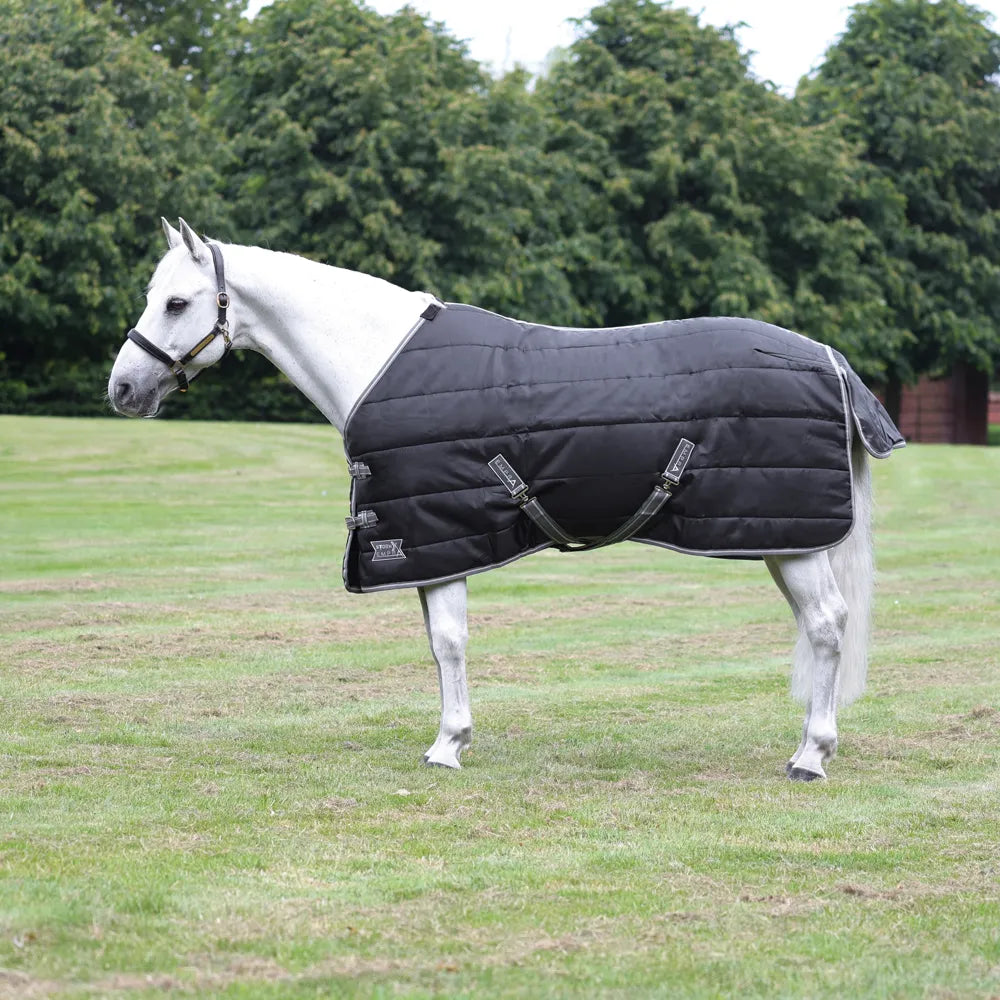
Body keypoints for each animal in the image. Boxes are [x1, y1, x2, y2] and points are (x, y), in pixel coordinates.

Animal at [109, 218, 903, 781]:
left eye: (176, 302)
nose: (121, 389)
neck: (376, 359)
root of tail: (830, 359)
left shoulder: (435, 539)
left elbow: (449, 642)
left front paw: (447, 745)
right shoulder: (431, 546)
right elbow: (439, 642)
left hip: (791, 538)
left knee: (826, 627)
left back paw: (811, 755)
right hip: (780, 535)